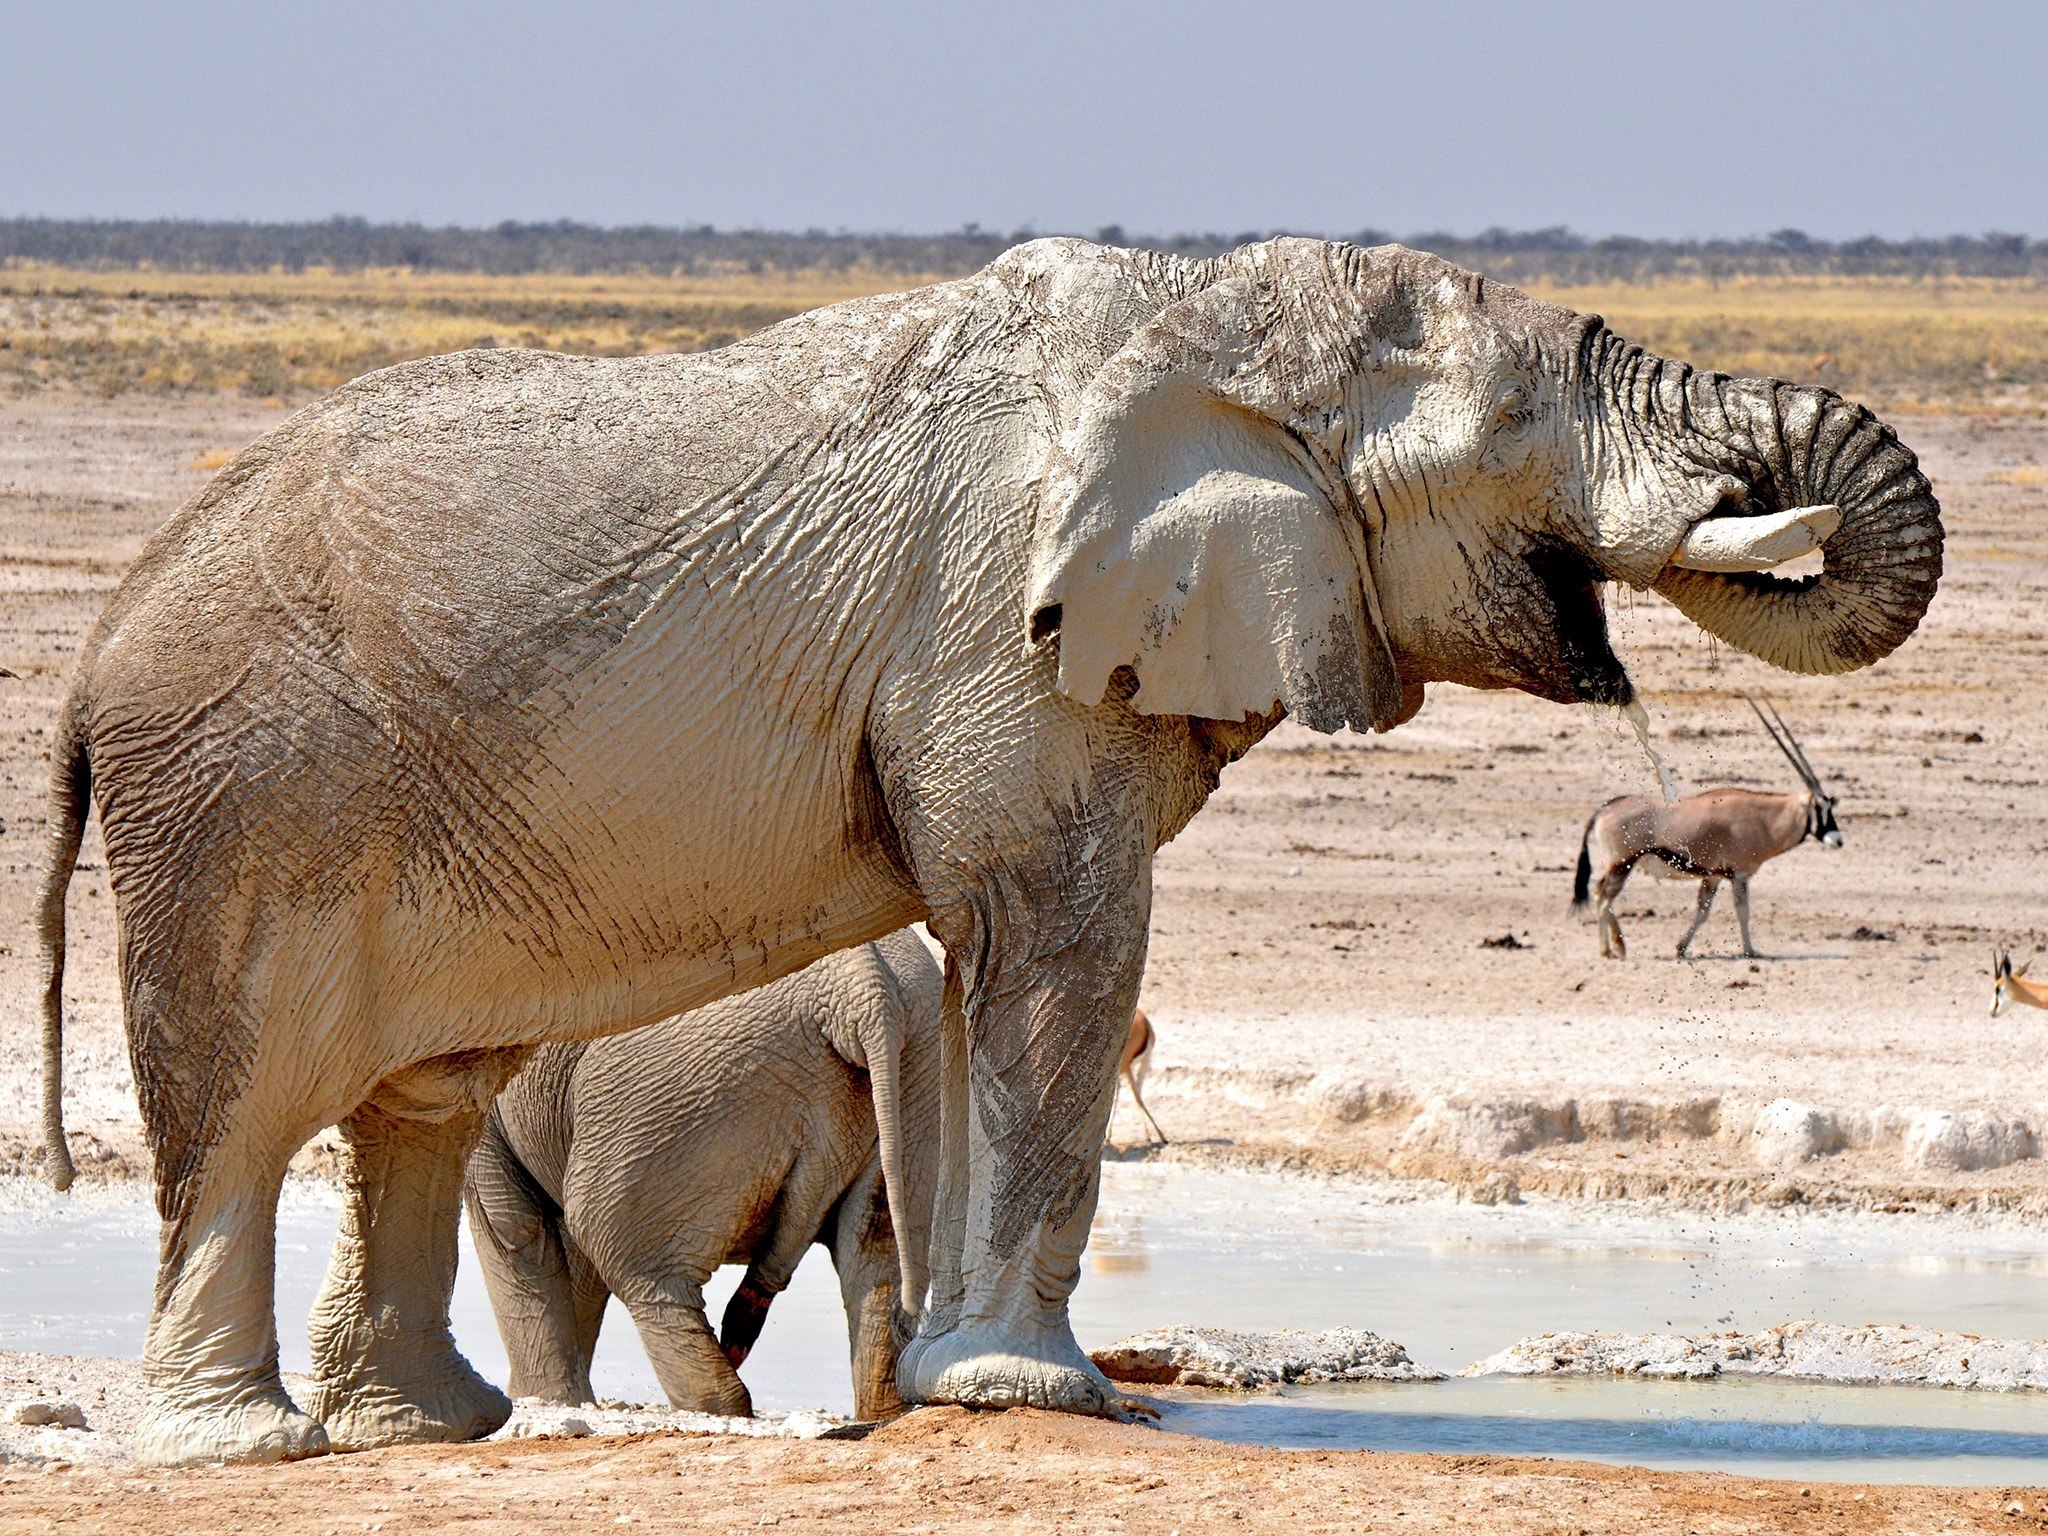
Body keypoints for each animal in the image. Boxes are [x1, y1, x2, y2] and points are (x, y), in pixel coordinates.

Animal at [460, 925, 937, 1417]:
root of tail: (859, 989)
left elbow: (515, 1230)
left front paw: (544, 1402)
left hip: (673, 1097)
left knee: (623, 1254)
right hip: (918, 1073)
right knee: (877, 1261)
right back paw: (882, 1412)